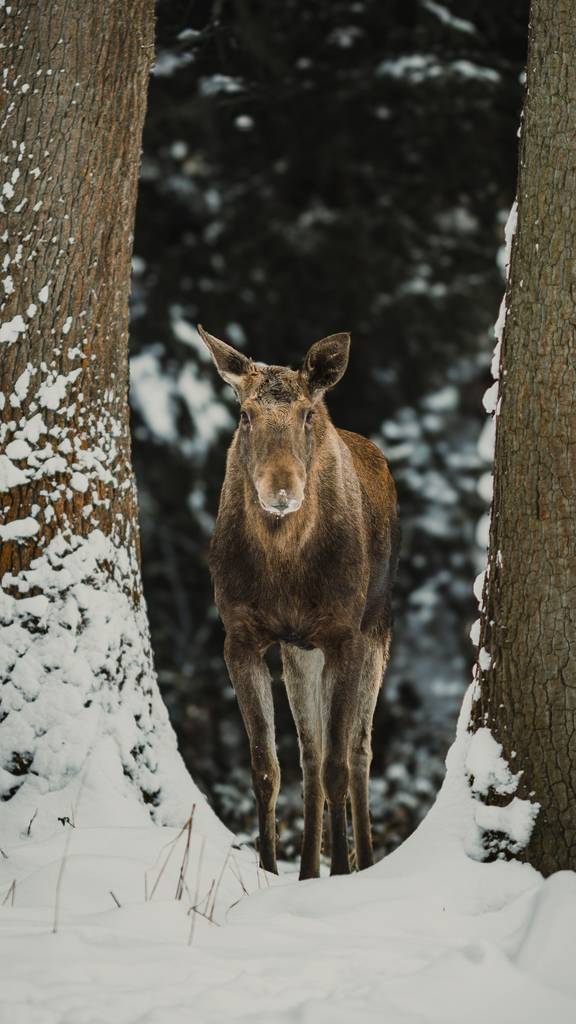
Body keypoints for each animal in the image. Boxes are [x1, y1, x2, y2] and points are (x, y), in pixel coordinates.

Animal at [198, 325, 399, 879]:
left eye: (308, 415)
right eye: (246, 415)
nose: (281, 491)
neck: (285, 569)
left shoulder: (344, 634)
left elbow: (339, 764)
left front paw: (341, 875)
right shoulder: (240, 637)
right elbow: (266, 768)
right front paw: (270, 871)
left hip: (378, 627)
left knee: (359, 750)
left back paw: (362, 862)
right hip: (298, 649)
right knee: (310, 754)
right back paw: (308, 869)